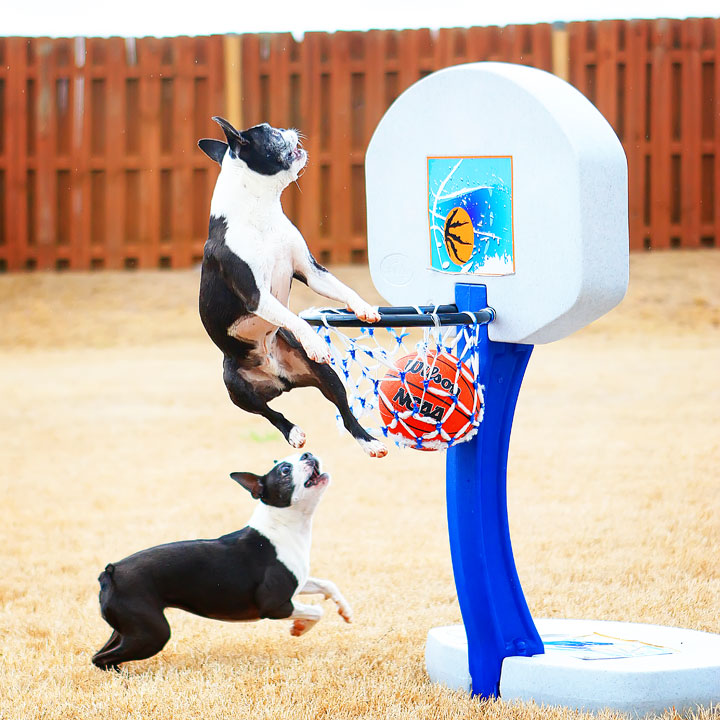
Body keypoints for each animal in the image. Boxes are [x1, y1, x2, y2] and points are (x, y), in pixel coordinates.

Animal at [91, 452, 350, 672]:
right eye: (285, 470)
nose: (307, 453)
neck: (283, 526)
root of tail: (110, 572)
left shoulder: (298, 582)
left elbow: (328, 584)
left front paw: (345, 611)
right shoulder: (275, 605)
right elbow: (317, 611)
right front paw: (300, 627)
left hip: (127, 629)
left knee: (101, 654)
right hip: (152, 633)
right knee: (101, 658)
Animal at [197, 115, 388, 458]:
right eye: (271, 133)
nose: (289, 129)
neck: (261, 212)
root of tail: (279, 380)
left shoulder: (311, 270)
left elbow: (343, 289)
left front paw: (365, 308)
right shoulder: (256, 295)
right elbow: (294, 318)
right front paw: (316, 342)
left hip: (325, 374)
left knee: (344, 411)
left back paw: (370, 442)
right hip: (235, 386)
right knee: (270, 413)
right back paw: (293, 433)